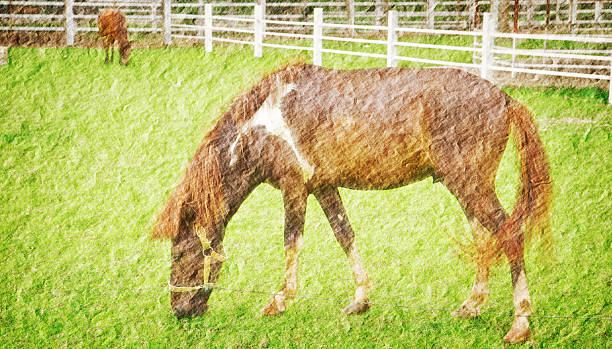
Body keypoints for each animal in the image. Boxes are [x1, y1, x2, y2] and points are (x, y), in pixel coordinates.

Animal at [151, 62, 552, 342]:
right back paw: (471, 307)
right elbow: (345, 235)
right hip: (464, 187)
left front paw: (279, 301)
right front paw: (360, 300)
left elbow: (292, 241)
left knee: (508, 234)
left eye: (180, 253)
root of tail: (506, 98)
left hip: (471, 185)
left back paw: (520, 324)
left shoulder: (294, 188)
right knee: (484, 240)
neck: (267, 119)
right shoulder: (324, 187)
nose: (180, 310)